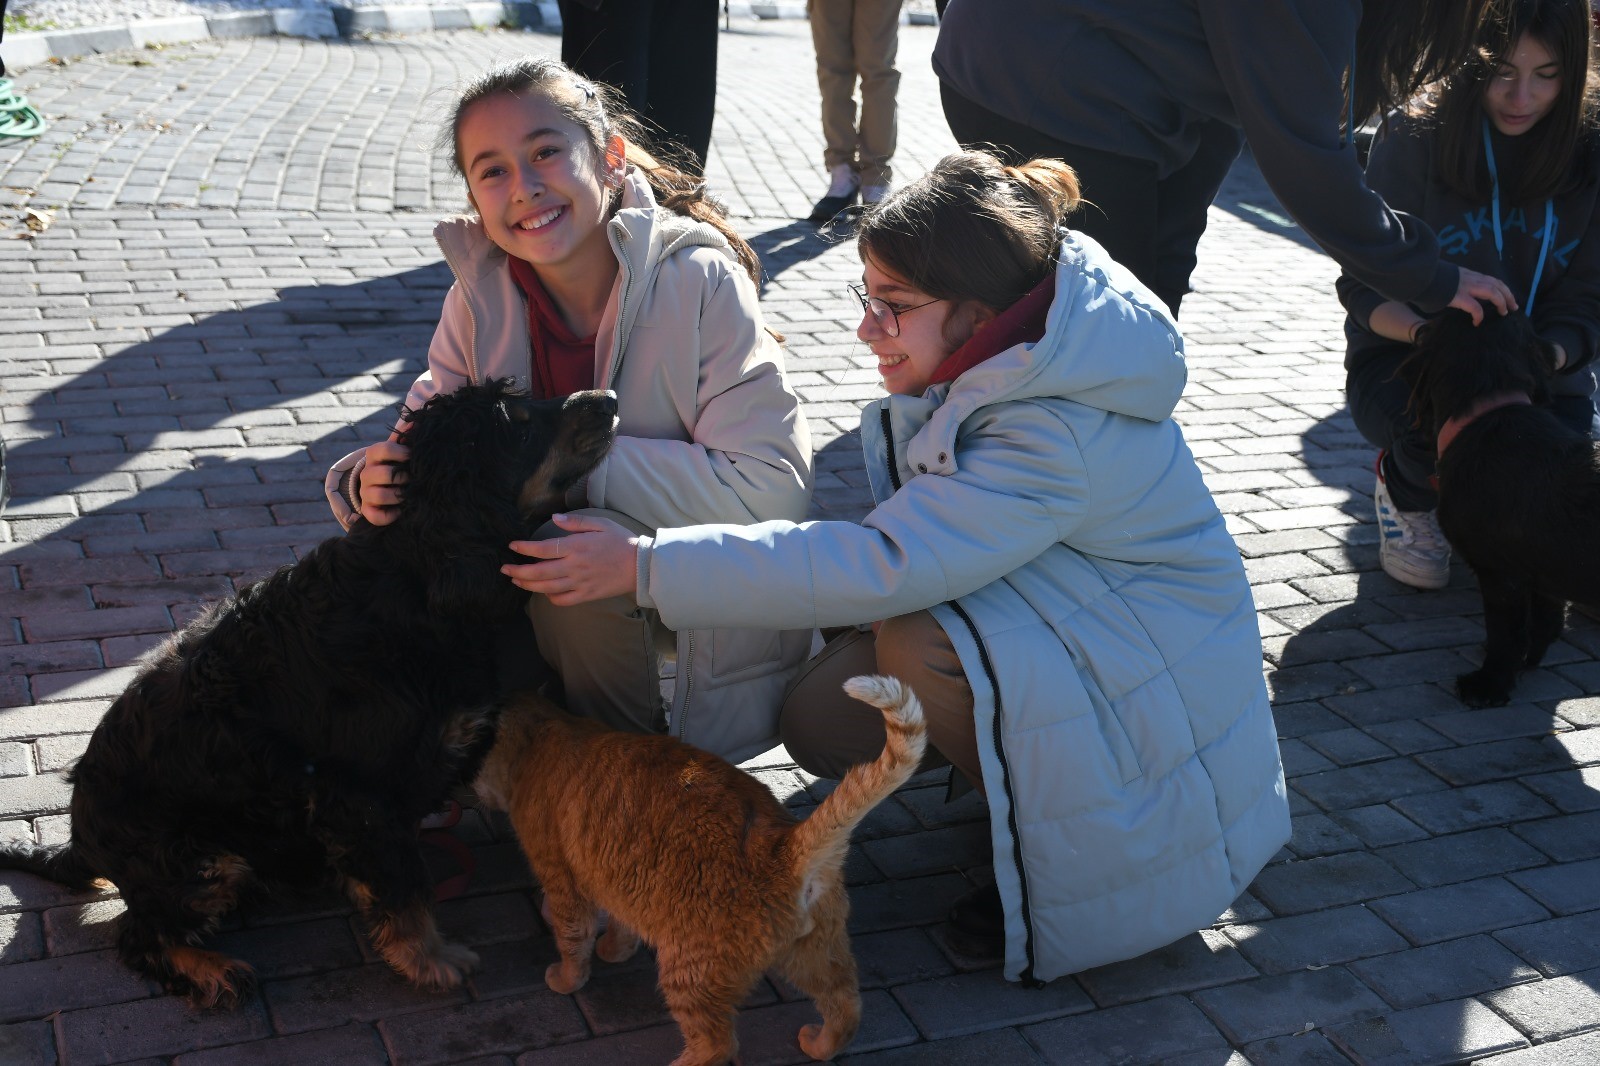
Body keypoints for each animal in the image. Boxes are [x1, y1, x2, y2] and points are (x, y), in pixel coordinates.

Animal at [0, 382, 617, 1005]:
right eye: (520, 424)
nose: (608, 398)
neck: (413, 580)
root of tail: (79, 837)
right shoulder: (359, 791)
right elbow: (404, 884)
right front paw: (430, 958)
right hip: (195, 857)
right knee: (139, 935)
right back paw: (214, 969)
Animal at [473, 675, 928, 1056]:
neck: (544, 733)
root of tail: (783, 844)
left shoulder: (564, 884)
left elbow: (573, 941)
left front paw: (568, 978)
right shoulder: (615, 878)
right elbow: (621, 924)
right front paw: (616, 950)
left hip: (690, 971)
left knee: (717, 1046)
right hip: (815, 953)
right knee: (845, 1002)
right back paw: (820, 1045)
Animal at [1408, 308, 1593, 704]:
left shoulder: (1500, 572)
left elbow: (1504, 634)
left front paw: (1487, 685)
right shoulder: (1544, 572)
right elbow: (1544, 621)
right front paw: (1529, 661)